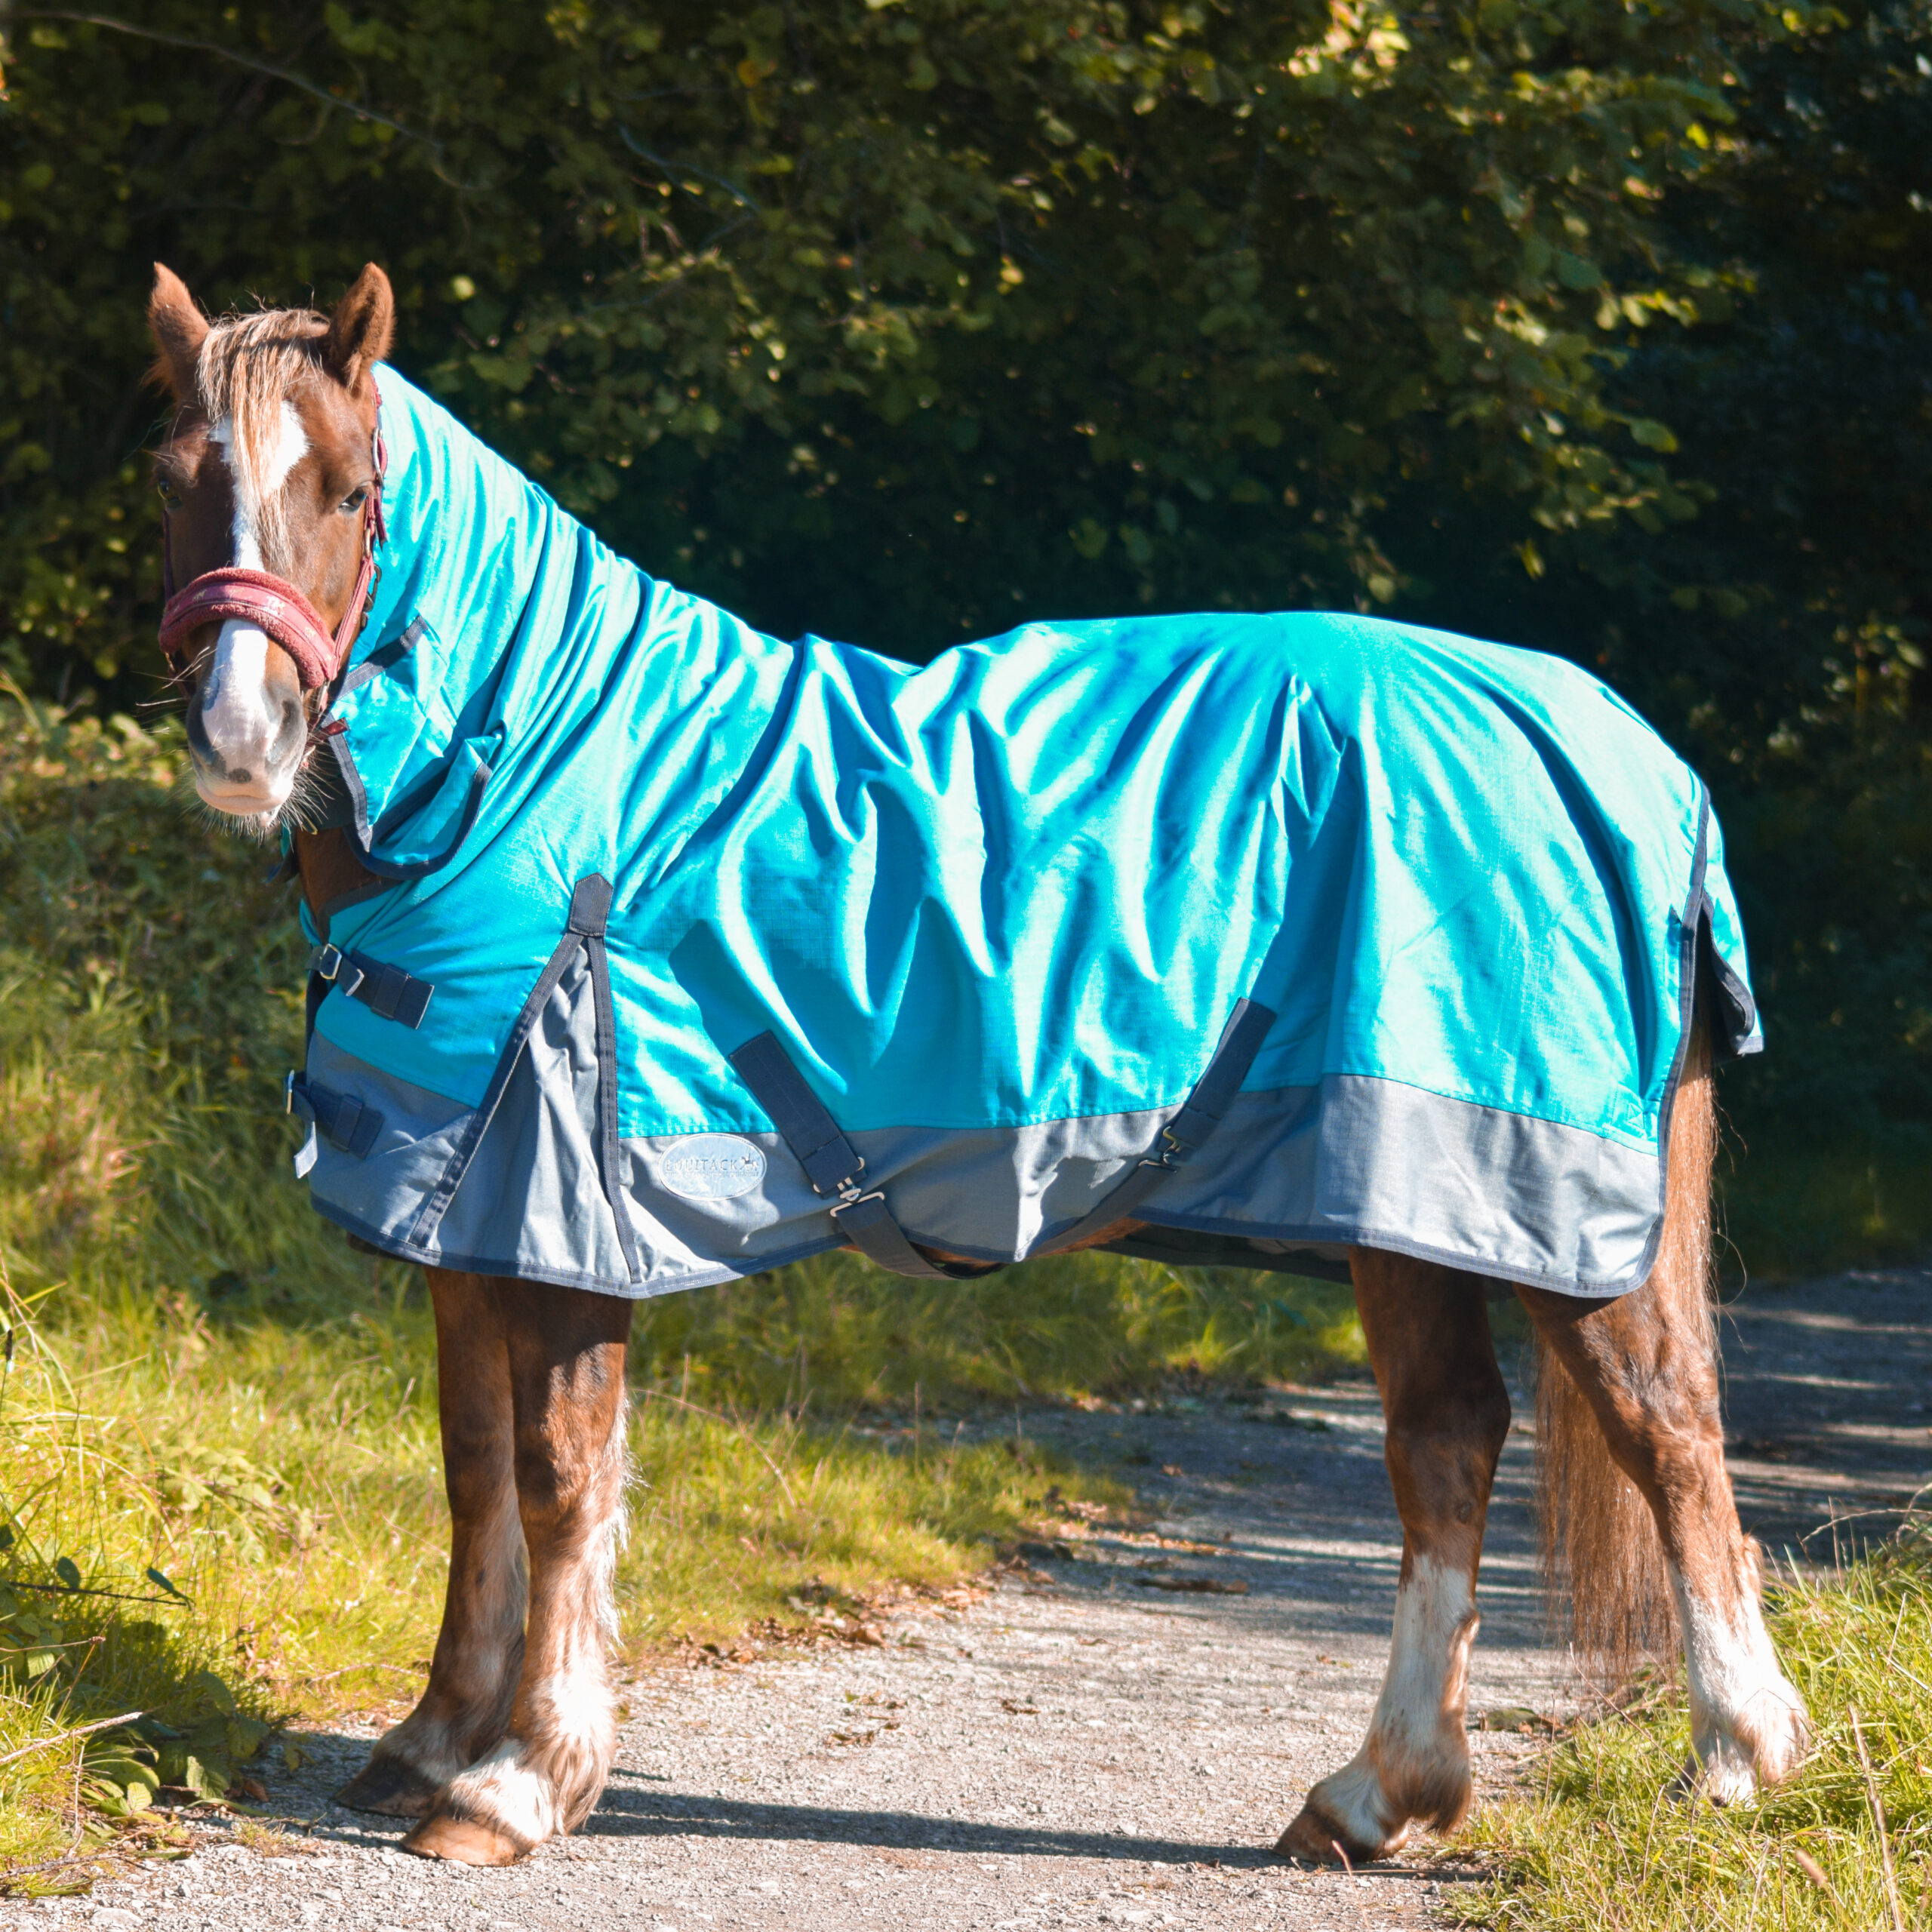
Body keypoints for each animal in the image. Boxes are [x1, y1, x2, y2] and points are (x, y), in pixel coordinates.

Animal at [144, 260, 1809, 1868]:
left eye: (347, 487)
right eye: (174, 476)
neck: (541, 769)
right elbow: (474, 1463)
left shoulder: (557, 1211)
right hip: (1398, 1200)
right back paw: (1374, 1793)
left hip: (1525, 1199)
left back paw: (1732, 1759)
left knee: (1663, 1424)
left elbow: (559, 1479)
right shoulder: (461, 1213)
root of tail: (1626, 750)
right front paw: (433, 1738)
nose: (240, 732)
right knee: (1447, 1441)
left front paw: (520, 1780)